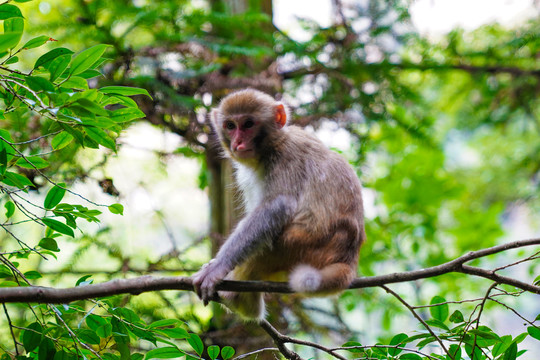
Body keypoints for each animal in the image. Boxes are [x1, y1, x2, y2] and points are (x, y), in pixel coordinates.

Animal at [192, 88, 364, 320]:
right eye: (230, 126)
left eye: (248, 124)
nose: (238, 142)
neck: (272, 144)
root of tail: (349, 259)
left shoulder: (285, 158)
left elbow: (277, 207)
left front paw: (217, 267)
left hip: (302, 245)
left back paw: (239, 301)